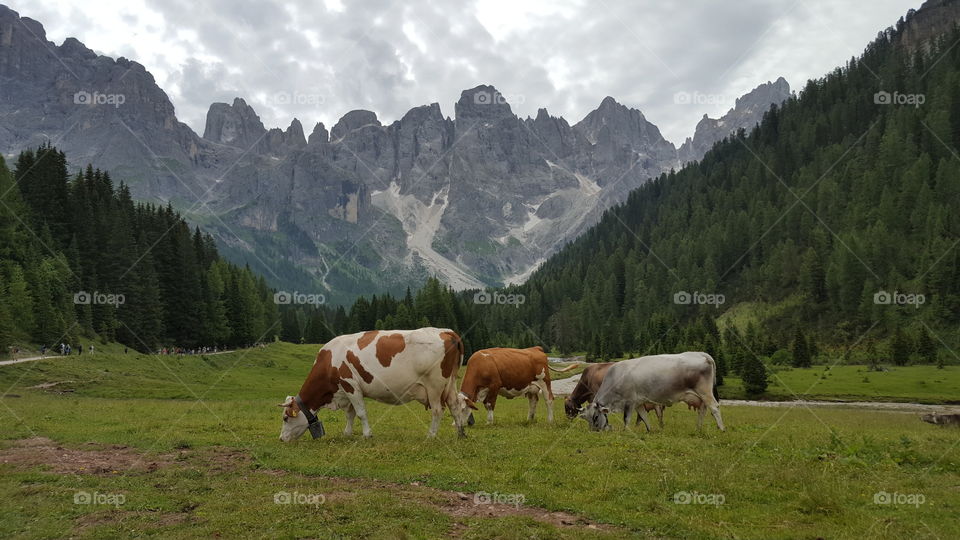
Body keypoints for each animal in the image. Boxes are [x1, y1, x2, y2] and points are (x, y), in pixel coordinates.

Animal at [278, 327, 467, 441]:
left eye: (286, 418)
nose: (281, 439)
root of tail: (445, 331)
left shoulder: (350, 385)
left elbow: (361, 413)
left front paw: (367, 434)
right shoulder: (346, 391)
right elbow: (350, 414)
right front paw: (347, 433)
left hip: (434, 386)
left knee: (437, 410)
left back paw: (431, 435)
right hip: (450, 383)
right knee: (455, 405)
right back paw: (460, 433)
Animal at [580, 352, 724, 432]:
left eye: (596, 417)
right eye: (587, 419)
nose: (594, 432)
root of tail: (701, 354)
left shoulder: (629, 402)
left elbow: (626, 418)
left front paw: (625, 431)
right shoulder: (638, 403)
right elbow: (644, 417)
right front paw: (649, 430)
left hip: (705, 391)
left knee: (714, 407)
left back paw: (721, 429)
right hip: (700, 396)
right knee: (703, 410)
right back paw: (698, 428)